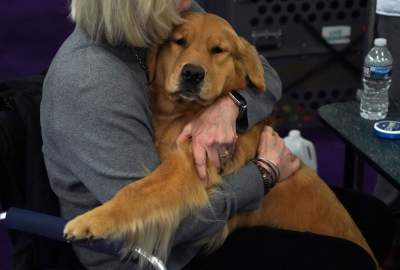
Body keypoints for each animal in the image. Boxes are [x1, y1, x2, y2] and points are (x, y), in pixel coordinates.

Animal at [63, 12, 378, 268]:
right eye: (180, 41)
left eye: (218, 50)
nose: (192, 73)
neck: (182, 113)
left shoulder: (188, 166)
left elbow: (136, 191)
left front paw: (92, 220)